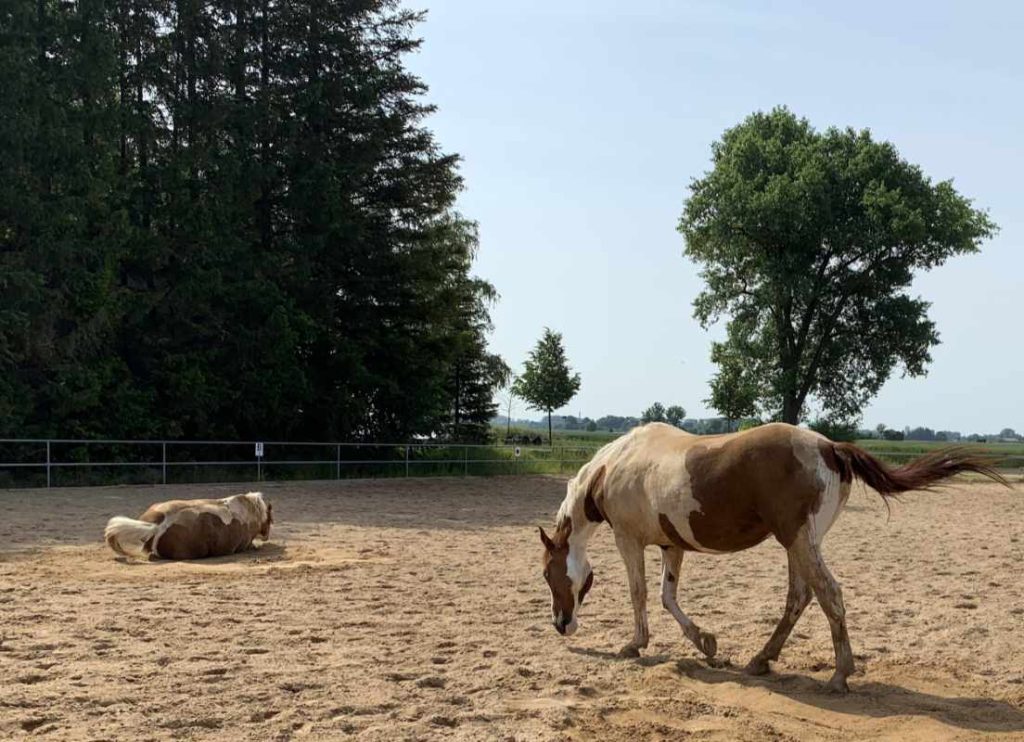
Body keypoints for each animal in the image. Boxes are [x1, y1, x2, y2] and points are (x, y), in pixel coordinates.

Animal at [539, 422, 1008, 693]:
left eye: (547, 574)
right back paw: (761, 660)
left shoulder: (630, 540)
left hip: (798, 540)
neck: (615, 466)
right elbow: (668, 597)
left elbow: (639, 595)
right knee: (799, 598)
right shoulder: (672, 546)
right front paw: (708, 644)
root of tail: (830, 448)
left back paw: (839, 675)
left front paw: (634, 645)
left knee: (828, 595)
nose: (561, 625)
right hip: (798, 543)